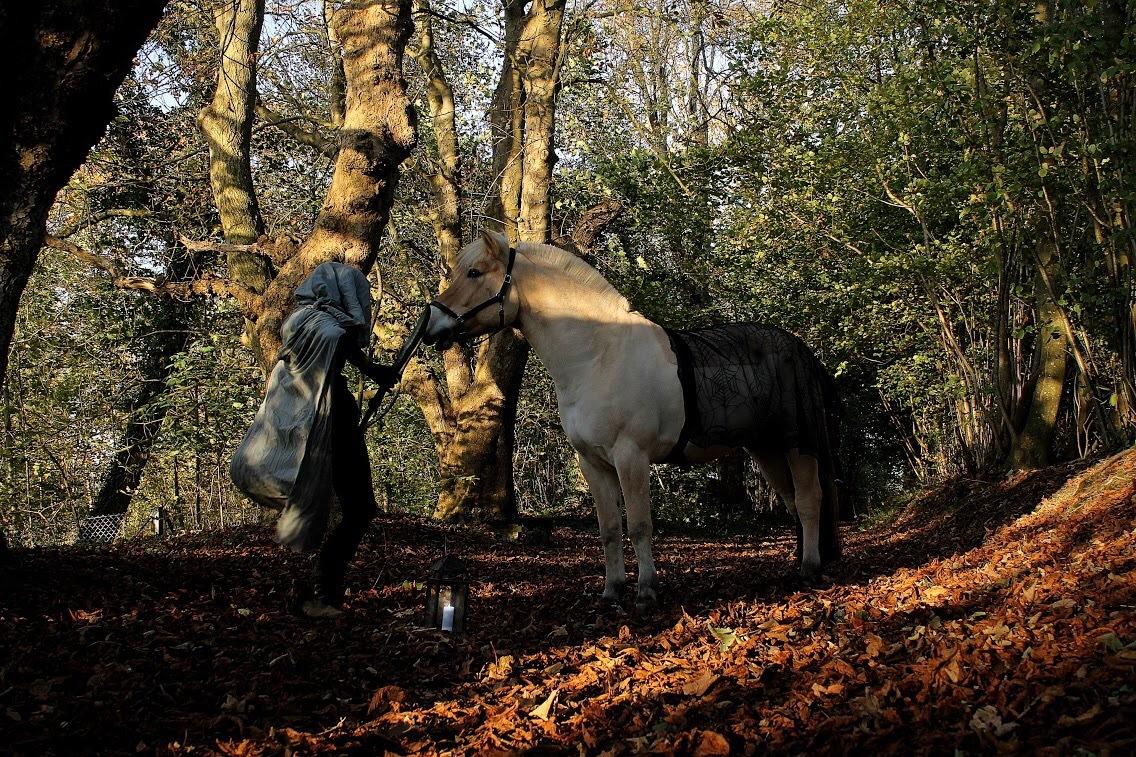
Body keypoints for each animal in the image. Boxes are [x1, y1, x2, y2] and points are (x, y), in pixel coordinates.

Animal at [422, 228, 840, 609]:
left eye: (474, 272)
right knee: (792, 501)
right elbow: (609, 528)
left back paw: (809, 569)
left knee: (809, 500)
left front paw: (645, 590)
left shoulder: (630, 456)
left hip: (798, 445)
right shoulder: (592, 462)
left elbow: (639, 525)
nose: (431, 325)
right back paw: (799, 563)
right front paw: (612, 590)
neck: (597, 356)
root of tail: (800, 350)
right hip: (766, 447)